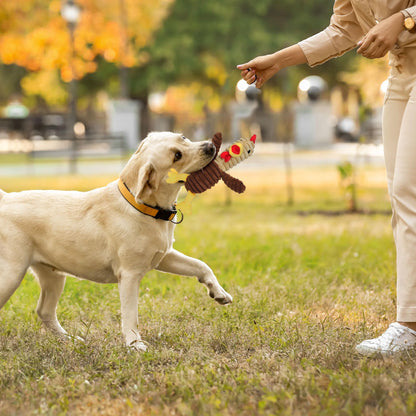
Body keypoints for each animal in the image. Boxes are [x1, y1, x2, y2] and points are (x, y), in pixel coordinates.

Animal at [0, 132, 234, 352]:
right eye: (177, 156)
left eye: (183, 137)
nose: (210, 146)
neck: (142, 207)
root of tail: (5, 198)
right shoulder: (129, 275)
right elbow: (131, 314)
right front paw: (135, 344)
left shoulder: (164, 256)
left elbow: (200, 265)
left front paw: (219, 293)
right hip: (11, 274)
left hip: (53, 276)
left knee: (44, 311)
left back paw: (70, 340)